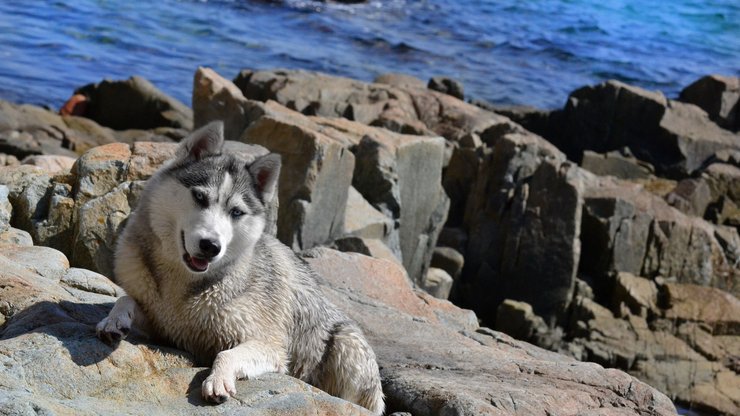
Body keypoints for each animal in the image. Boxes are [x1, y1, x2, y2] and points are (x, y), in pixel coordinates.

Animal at [97, 122, 384, 414]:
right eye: (199, 197)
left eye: (236, 212)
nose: (211, 246)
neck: (184, 281)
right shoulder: (163, 326)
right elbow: (125, 299)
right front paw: (114, 320)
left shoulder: (269, 345)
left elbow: (226, 353)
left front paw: (218, 380)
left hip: (347, 345)